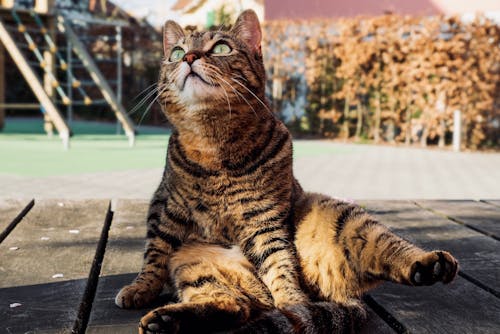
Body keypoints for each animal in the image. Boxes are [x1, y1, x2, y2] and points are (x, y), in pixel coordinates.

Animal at [115, 9, 458, 332]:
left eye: (222, 47)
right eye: (176, 52)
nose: (188, 57)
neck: (215, 146)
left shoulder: (266, 220)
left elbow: (280, 264)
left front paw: (292, 300)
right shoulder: (167, 208)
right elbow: (154, 253)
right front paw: (140, 288)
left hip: (341, 215)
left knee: (386, 248)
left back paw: (428, 265)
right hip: (193, 263)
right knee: (233, 305)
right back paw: (165, 320)